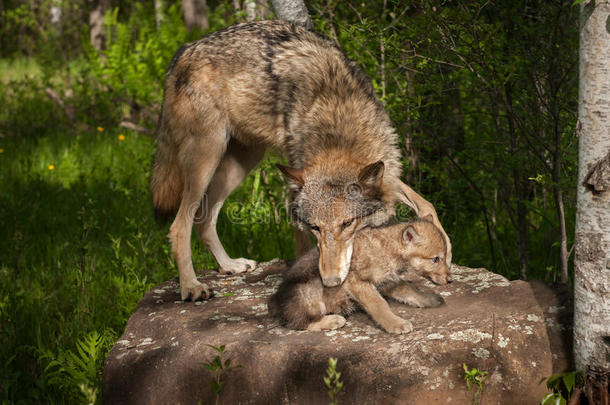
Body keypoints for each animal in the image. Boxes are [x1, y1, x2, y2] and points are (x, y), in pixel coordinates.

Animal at [150, 20, 448, 302]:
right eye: (315, 227)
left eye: (347, 224)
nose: (330, 281)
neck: (339, 123)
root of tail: (183, 51)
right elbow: (303, 245)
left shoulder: (387, 172)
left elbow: (426, 205)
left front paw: (444, 250)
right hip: (207, 157)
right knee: (179, 226)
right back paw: (191, 287)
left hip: (241, 163)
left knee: (204, 219)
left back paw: (229, 266)